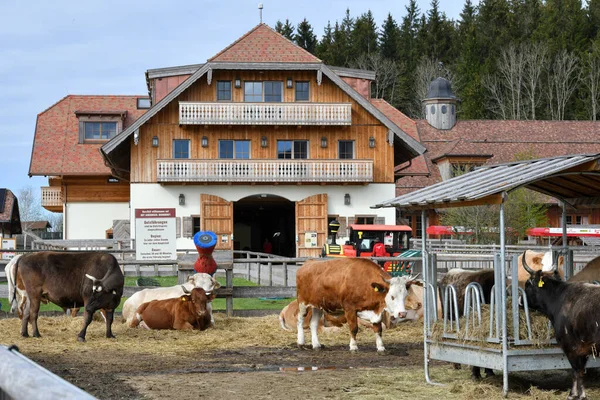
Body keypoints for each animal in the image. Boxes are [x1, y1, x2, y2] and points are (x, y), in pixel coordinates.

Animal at [520, 252, 600, 398]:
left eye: (528, 284)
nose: (520, 301)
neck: (559, 298)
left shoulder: (571, 348)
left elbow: (576, 371)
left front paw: (575, 394)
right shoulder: (584, 350)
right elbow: (579, 371)